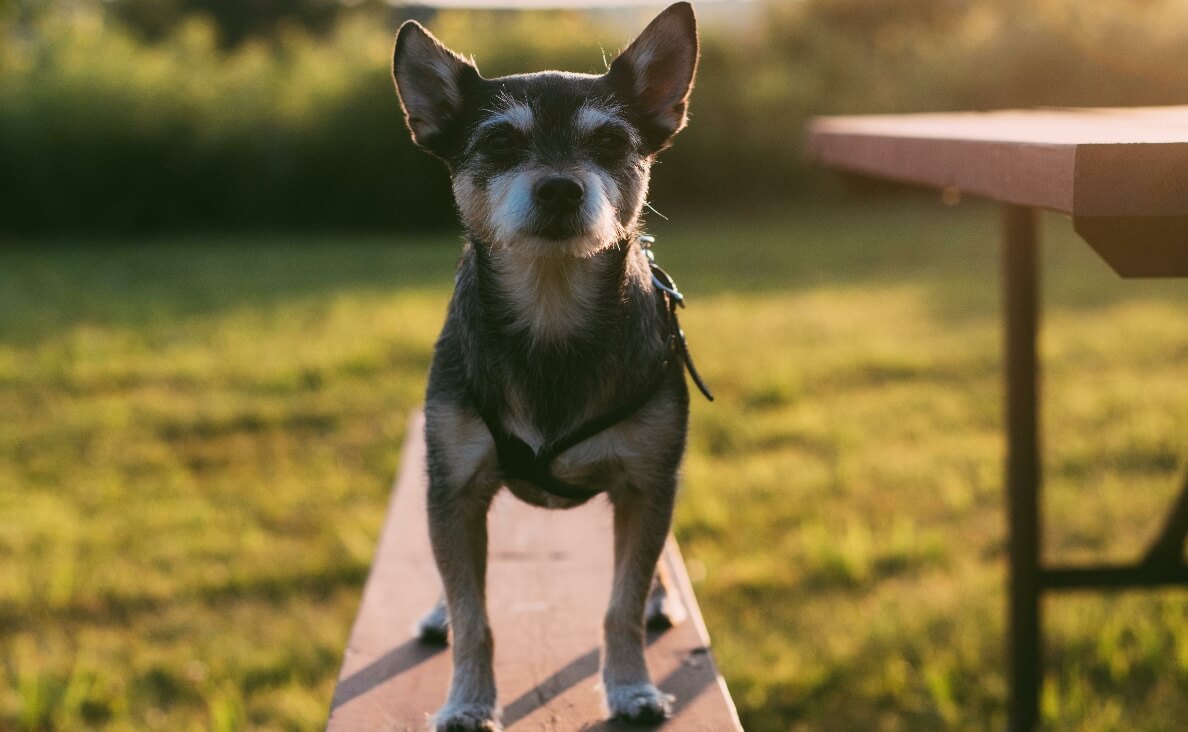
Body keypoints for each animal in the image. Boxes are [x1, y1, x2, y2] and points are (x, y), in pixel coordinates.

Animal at [389, 4, 703, 727]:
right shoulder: (455, 487)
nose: (560, 189)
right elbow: (474, 617)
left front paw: (631, 687)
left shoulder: (647, 485)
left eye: (611, 144)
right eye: (501, 144)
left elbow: (620, 604)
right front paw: (468, 701)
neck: (552, 314)